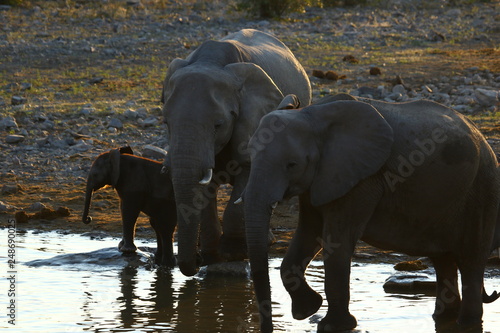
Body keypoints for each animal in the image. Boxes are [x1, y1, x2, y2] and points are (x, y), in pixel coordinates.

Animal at [160, 27, 310, 274]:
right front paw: (211, 256)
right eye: (166, 123)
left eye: (218, 125)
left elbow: (247, 169)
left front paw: (233, 254)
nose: (196, 262)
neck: (210, 62)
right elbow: (206, 187)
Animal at [240, 94, 498, 330]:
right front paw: (308, 309)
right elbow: (308, 233)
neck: (312, 113)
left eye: (292, 164)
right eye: (250, 157)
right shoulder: (321, 179)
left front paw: (334, 326)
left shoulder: (361, 179)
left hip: (482, 190)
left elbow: (337, 243)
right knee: (443, 260)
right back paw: (444, 318)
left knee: (471, 261)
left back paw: (467, 323)